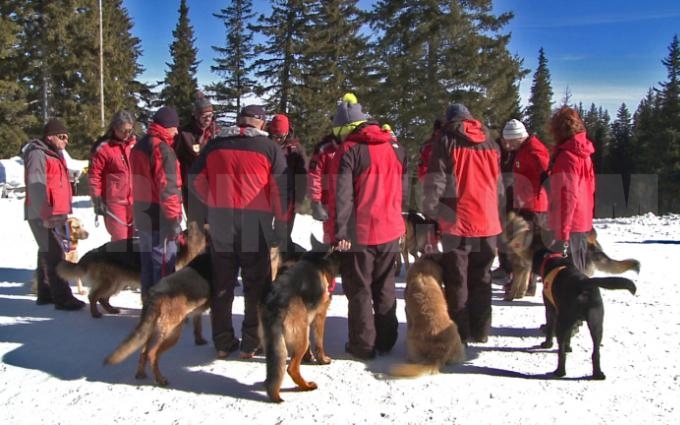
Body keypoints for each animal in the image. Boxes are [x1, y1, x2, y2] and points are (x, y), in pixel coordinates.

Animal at [56, 220, 206, 316]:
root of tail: (95, 251)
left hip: (117, 283)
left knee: (103, 298)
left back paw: (111, 310)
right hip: (110, 283)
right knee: (93, 296)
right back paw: (95, 313)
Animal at [102, 250, 210, 386]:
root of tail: (156, 295)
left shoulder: (198, 313)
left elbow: (198, 327)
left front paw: (200, 340)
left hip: (152, 332)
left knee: (143, 352)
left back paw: (141, 374)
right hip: (171, 334)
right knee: (152, 354)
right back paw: (160, 379)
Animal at [258, 245, 340, 400]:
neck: (318, 260)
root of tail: (277, 302)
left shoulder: (307, 320)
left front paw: (308, 357)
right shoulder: (319, 316)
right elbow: (319, 343)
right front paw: (322, 360)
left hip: (277, 340)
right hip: (302, 339)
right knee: (292, 368)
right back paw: (306, 386)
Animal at [532, 248, 640, 378]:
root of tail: (583, 283)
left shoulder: (551, 310)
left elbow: (550, 328)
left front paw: (547, 344)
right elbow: (569, 336)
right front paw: (569, 347)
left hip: (563, 321)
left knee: (561, 352)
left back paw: (559, 372)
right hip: (596, 323)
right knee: (596, 352)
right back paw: (598, 374)